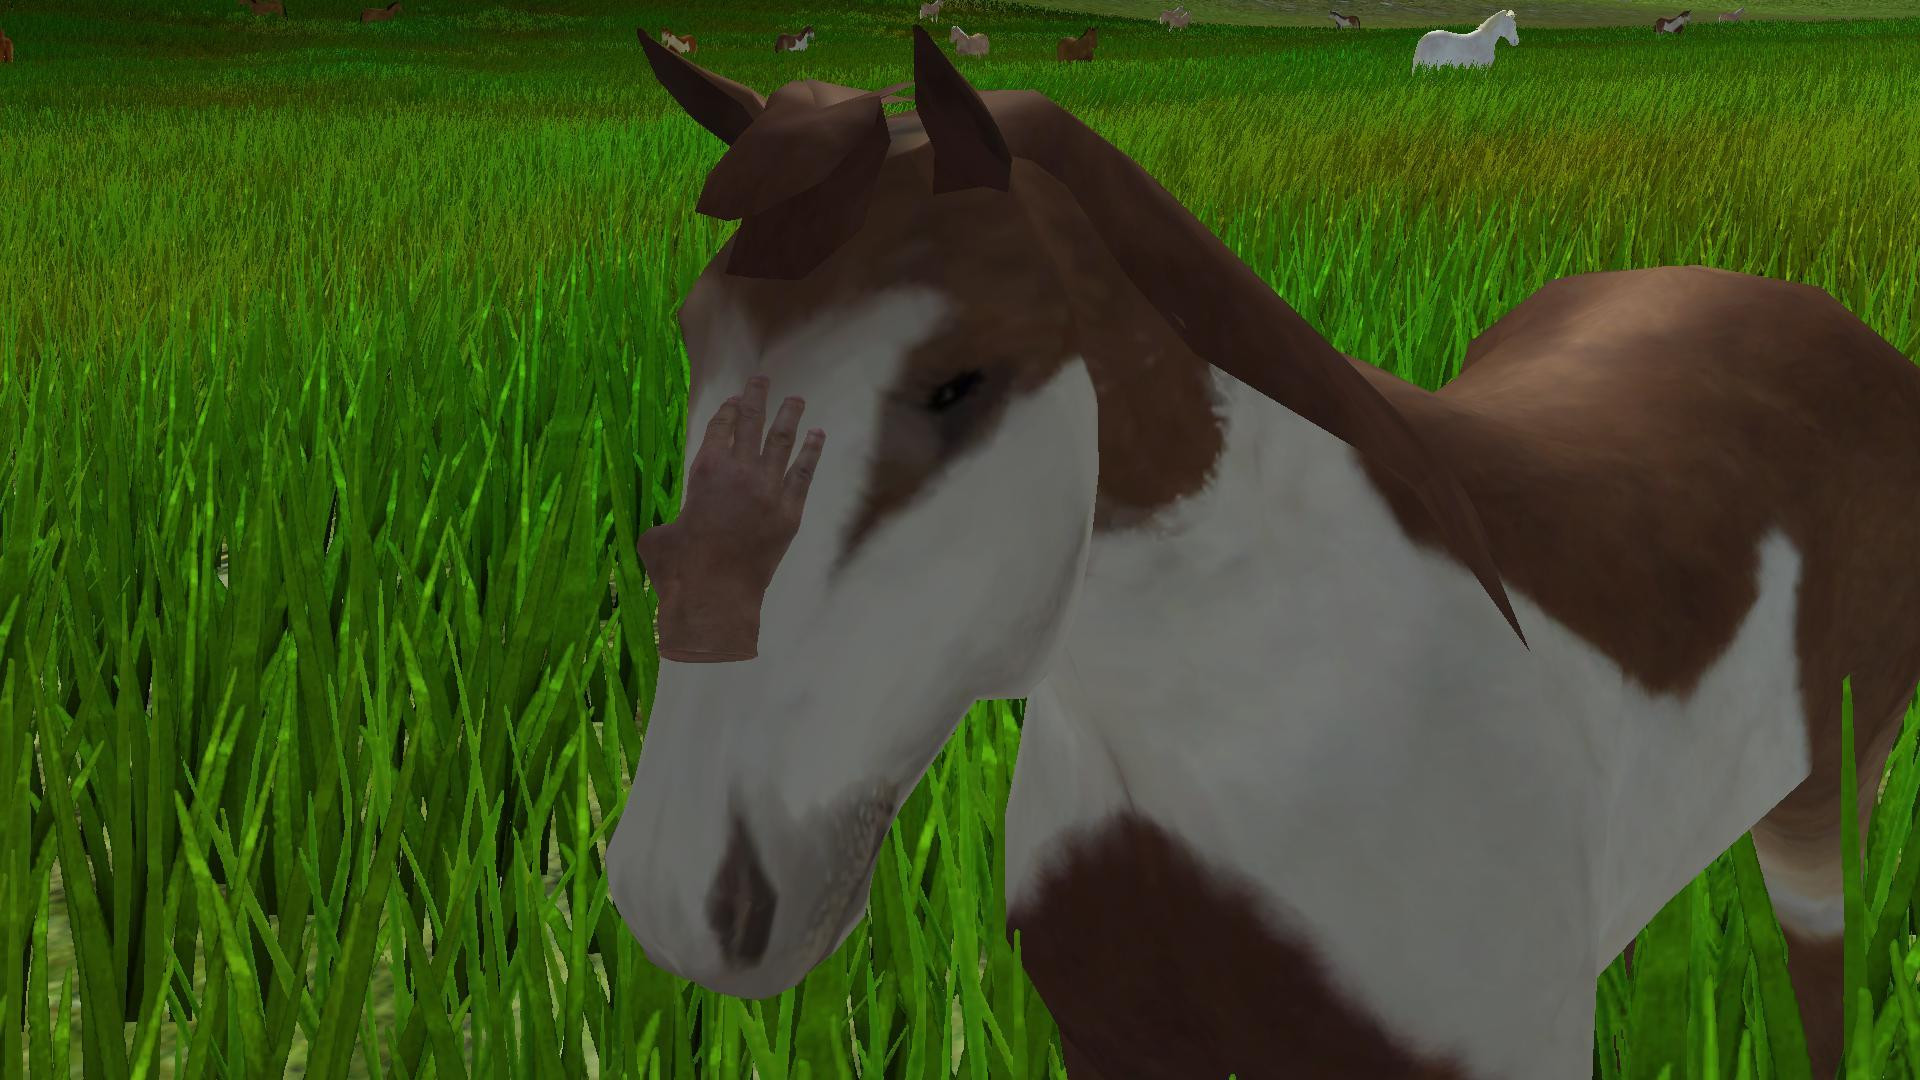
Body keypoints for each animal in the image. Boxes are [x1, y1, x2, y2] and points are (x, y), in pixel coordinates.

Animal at [626, 25, 1920, 1079]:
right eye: (691, 333)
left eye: (958, 382)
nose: (676, 890)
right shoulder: (1121, 1046)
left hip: (1828, 804)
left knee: (1821, 987)